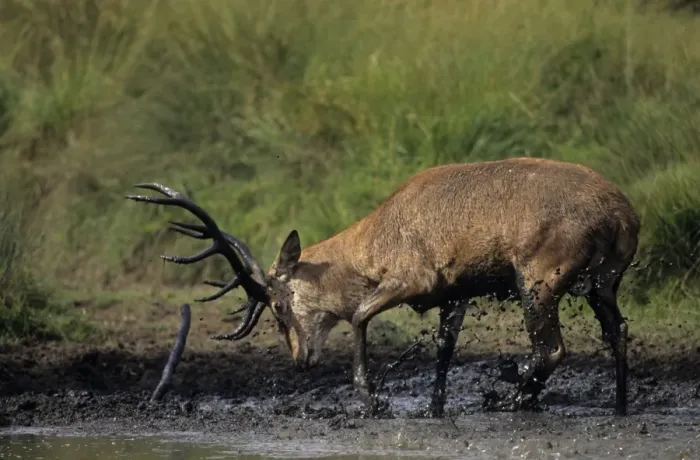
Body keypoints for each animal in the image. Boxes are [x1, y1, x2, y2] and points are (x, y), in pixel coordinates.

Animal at [126, 156, 640, 417]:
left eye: (276, 304)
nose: (300, 359)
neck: (372, 242)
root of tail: (621, 214)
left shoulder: (413, 279)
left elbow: (357, 315)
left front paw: (374, 399)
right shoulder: (456, 293)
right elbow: (443, 347)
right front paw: (433, 409)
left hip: (537, 281)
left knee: (552, 348)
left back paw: (507, 393)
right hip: (603, 284)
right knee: (617, 333)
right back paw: (618, 407)